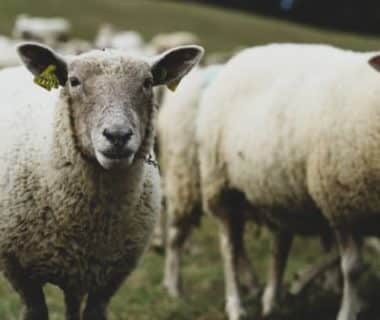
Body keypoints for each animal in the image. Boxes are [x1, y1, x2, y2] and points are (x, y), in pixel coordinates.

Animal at [0, 42, 203, 320]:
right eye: (73, 81)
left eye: (148, 82)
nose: (118, 135)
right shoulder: (20, 272)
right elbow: (35, 310)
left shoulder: (109, 278)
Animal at [197, 43, 380, 320]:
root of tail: (242, 55)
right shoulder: (342, 204)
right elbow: (352, 268)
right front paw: (347, 311)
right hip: (220, 185)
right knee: (229, 248)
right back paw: (236, 305)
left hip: (278, 192)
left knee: (279, 247)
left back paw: (272, 301)